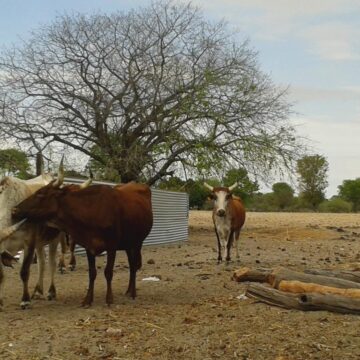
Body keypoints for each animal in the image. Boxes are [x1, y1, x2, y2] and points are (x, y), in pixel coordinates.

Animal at [11, 179, 153, 308]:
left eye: (40, 193)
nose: (14, 209)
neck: (93, 210)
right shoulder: (89, 246)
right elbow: (92, 273)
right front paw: (88, 300)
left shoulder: (111, 246)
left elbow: (108, 272)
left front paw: (109, 299)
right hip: (128, 244)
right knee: (132, 264)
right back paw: (128, 290)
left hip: (137, 242)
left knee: (133, 266)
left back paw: (133, 292)